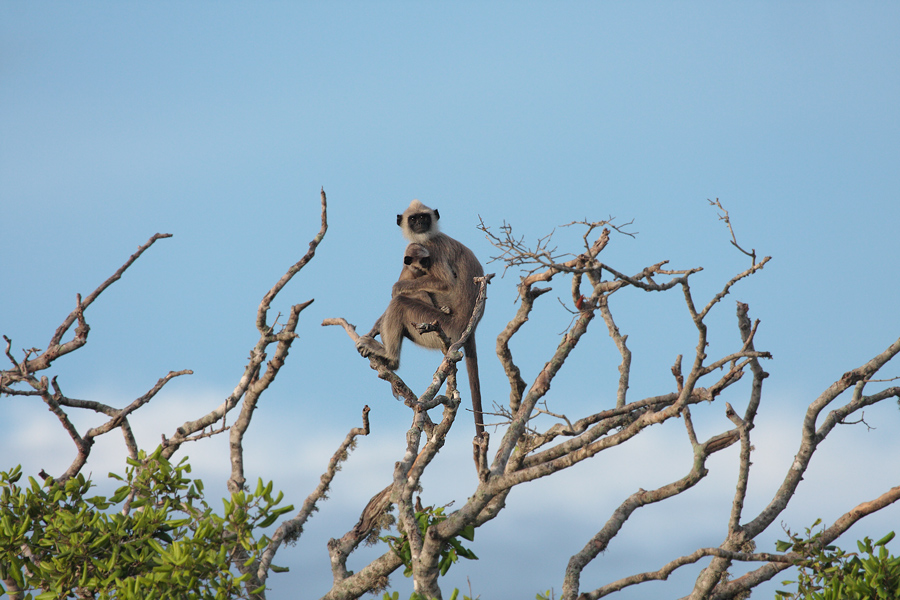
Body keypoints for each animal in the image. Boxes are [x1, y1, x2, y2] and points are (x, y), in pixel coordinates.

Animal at [356, 200, 488, 436]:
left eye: (424, 217)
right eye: (414, 218)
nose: (420, 224)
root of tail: (469, 327)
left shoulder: (432, 248)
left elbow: (443, 283)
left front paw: (396, 288)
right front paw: (372, 331)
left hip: (441, 325)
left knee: (401, 302)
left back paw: (390, 357)